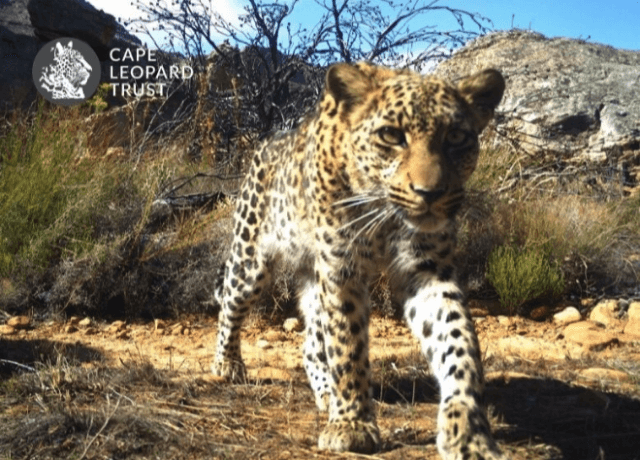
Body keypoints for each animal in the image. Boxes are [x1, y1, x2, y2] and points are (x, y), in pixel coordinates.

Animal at [212, 61, 506, 460]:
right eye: (391, 135)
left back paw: (324, 392)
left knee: (312, 343)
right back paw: (227, 363)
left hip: (311, 272)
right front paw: (351, 425)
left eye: (457, 136)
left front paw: (468, 431)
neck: (383, 210)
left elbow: (458, 341)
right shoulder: (341, 266)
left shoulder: (428, 269)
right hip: (250, 258)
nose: (429, 194)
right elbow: (347, 345)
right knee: (230, 305)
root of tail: (267, 143)